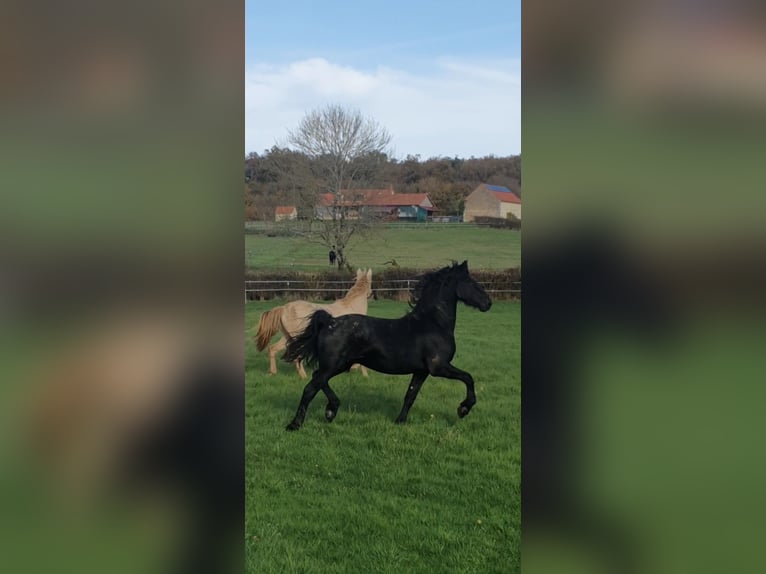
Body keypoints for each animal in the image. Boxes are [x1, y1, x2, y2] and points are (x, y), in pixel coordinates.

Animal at [282, 261, 492, 431]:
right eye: (472, 283)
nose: (488, 303)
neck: (433, 323)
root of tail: (329, 322)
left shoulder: (421, 371)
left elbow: (410, 395)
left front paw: (400, 421)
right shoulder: (438, 367)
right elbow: (468, 378)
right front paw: (464, 408)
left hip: (339, 365)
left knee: (318, 379)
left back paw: (331, 410)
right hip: (334, 365)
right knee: (310, 388)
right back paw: (295, 424)